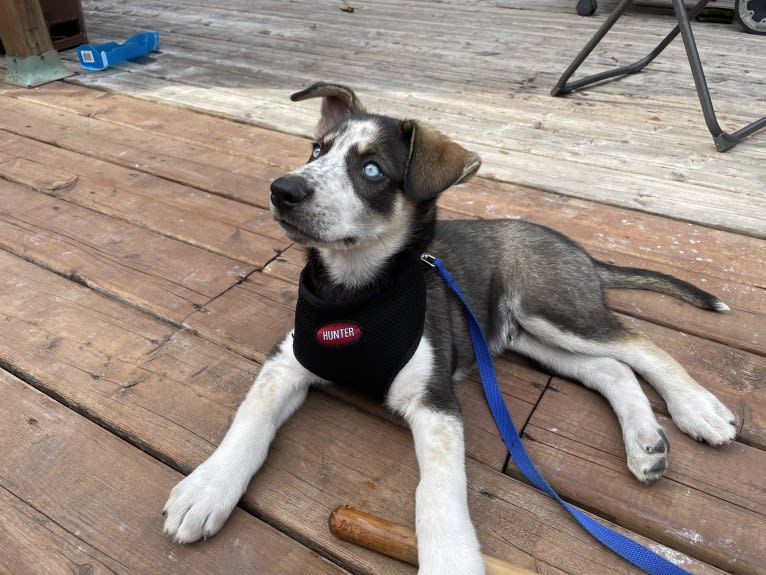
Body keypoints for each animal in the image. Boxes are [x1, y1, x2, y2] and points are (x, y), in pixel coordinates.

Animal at [164, 83, 736, 572]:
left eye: (372, 170)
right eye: (315, 150)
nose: (282, 190)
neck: (356, 293)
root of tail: (581, 253)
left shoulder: (435, 402)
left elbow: (437, 493)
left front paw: (450, 561)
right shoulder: (287, 361)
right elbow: (249, 421)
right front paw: (207, 488)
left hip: (552, 310)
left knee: (642, 346)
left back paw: (699, 410)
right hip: (528, 336)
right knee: (612, 369)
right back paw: (646, 443)